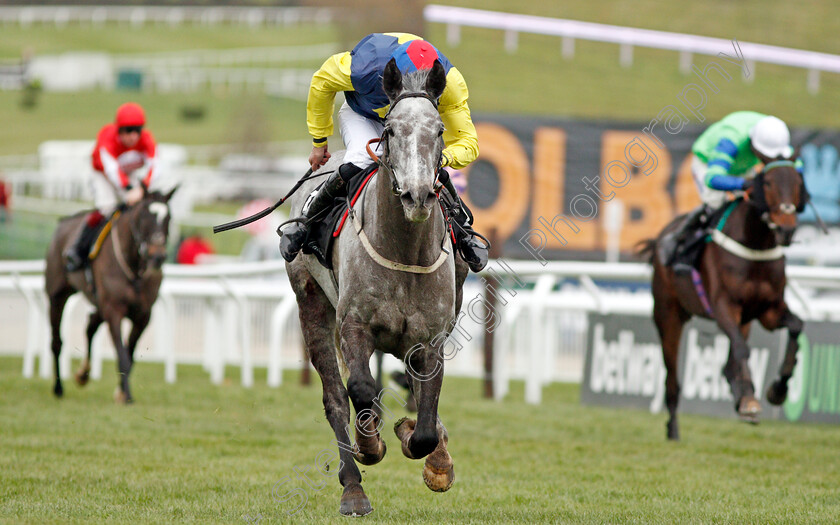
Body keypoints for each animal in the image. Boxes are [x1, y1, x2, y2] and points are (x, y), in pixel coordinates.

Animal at [44, 186, 176, 404]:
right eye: (143, 215)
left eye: (168, 217)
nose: (157, 256)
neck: (134, 269)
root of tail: (63, 222)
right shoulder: (114, 310)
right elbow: (122, 356)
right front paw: (127, 396)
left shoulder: (143, 314)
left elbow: (129, 355)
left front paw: (121, 393)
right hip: (57, 295)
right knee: (56, 342)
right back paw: (58, 388)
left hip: (99, 303)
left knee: (90, 325)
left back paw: (83, 374)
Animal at [286, 58, 470, 516]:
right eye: (390, 131)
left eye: (439, 130)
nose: (419, 196)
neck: (404, 250)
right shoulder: (353, 325)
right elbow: (361, 389)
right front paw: (372, 443)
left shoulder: (431, 339)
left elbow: (425, 420)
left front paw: (432, 456)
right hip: (311, 305)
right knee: (335, 398)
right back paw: (353, 487)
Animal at [640, 160, 812, 438]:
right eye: (767, 183)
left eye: (798, 182)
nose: (786, 228)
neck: (755, 246)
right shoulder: (723, 306)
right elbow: (742, 348)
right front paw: (751, 401)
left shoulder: (769, 310)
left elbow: (795, 326)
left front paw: (777, 391)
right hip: (668, 314)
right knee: (672, 377)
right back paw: (673, 428)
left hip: (745, 317)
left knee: (730, 359)